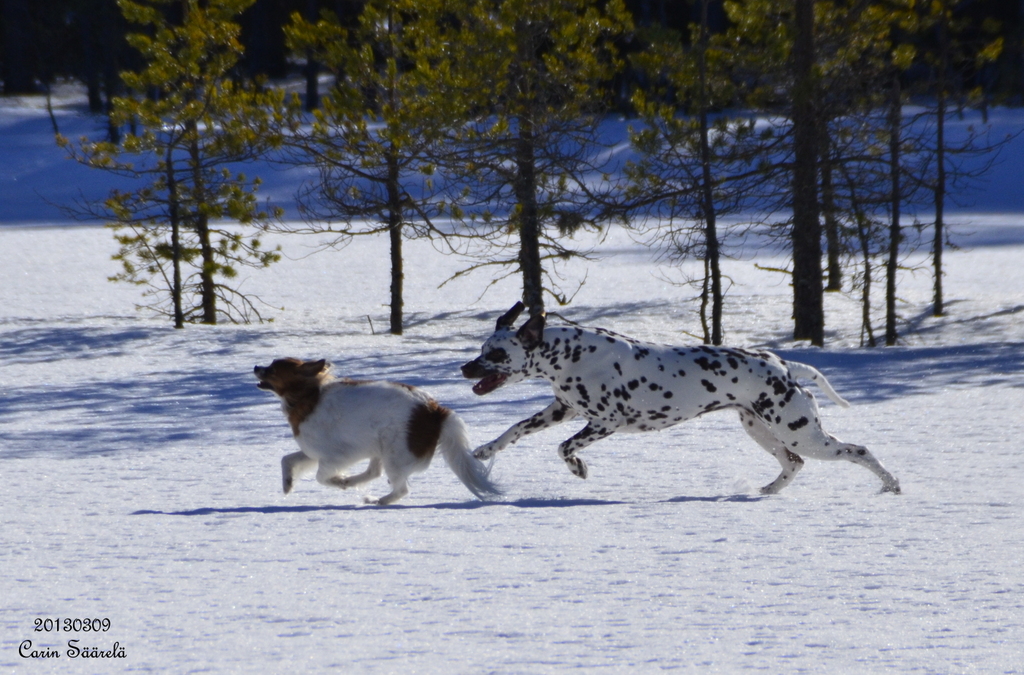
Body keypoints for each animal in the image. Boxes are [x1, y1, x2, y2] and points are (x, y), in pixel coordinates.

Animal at [254, 358, 501, 505]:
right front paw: (287, 483)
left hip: (395, 453)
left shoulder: (335, 456)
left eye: (272, 369)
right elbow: (287, 459)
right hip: (380, 448)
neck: (307, 396)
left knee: (400, 490)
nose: (256, 367)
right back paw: (358, 485)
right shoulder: (313, 452)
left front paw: (339, 481)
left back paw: (377, 500)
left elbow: (321, 477)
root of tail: (435, 410)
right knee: (374, 472)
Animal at [461, 302, 900, 495]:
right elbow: (515, 429)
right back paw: (768, 490)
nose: (465, 369)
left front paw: (578, 468)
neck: (570, 354)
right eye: (482, 349)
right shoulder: (561, 410)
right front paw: (484, 450)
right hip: (762, 431)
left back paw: (891, 484)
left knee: (859, 451)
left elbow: (563, 448)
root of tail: (783, 365)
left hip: (802, 432)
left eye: (495, 354)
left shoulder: (605, 422)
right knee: (793, 463)